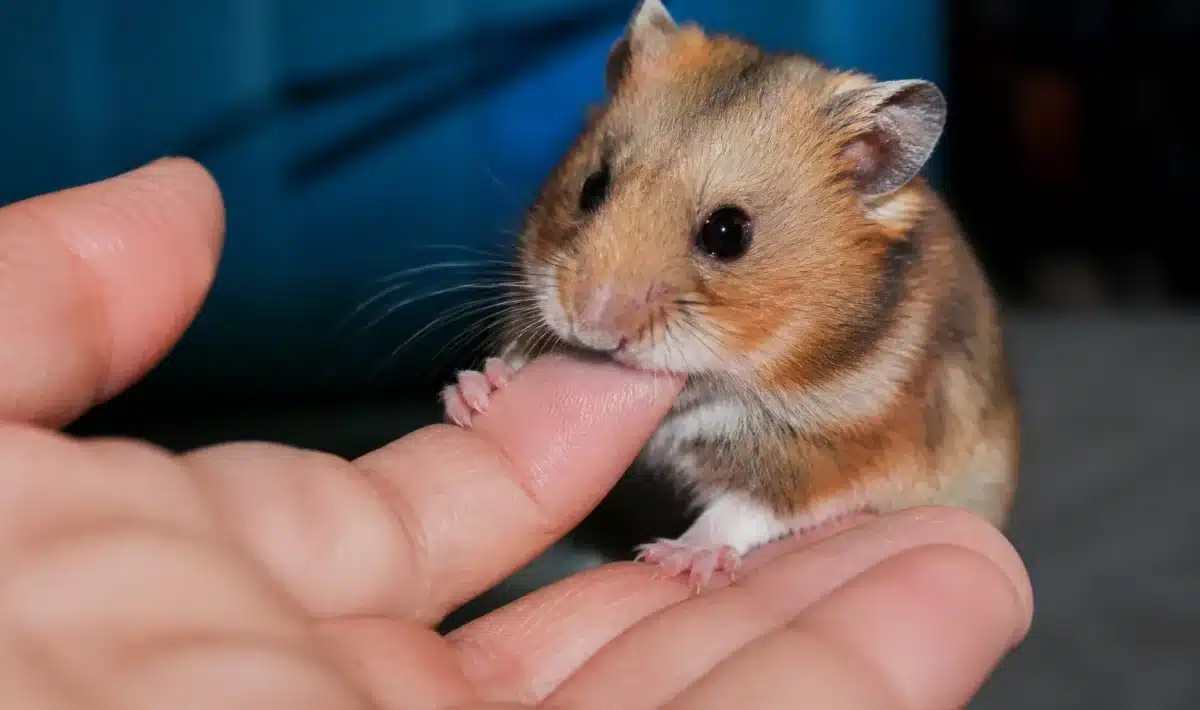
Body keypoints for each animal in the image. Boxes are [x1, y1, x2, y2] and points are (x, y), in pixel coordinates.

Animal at [441, 0, 1019, 589]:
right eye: (592, 187)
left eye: (727, 233)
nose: (589, 326)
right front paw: (475, 391)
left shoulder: (829, 457)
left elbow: (745, 508)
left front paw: (676, 558)